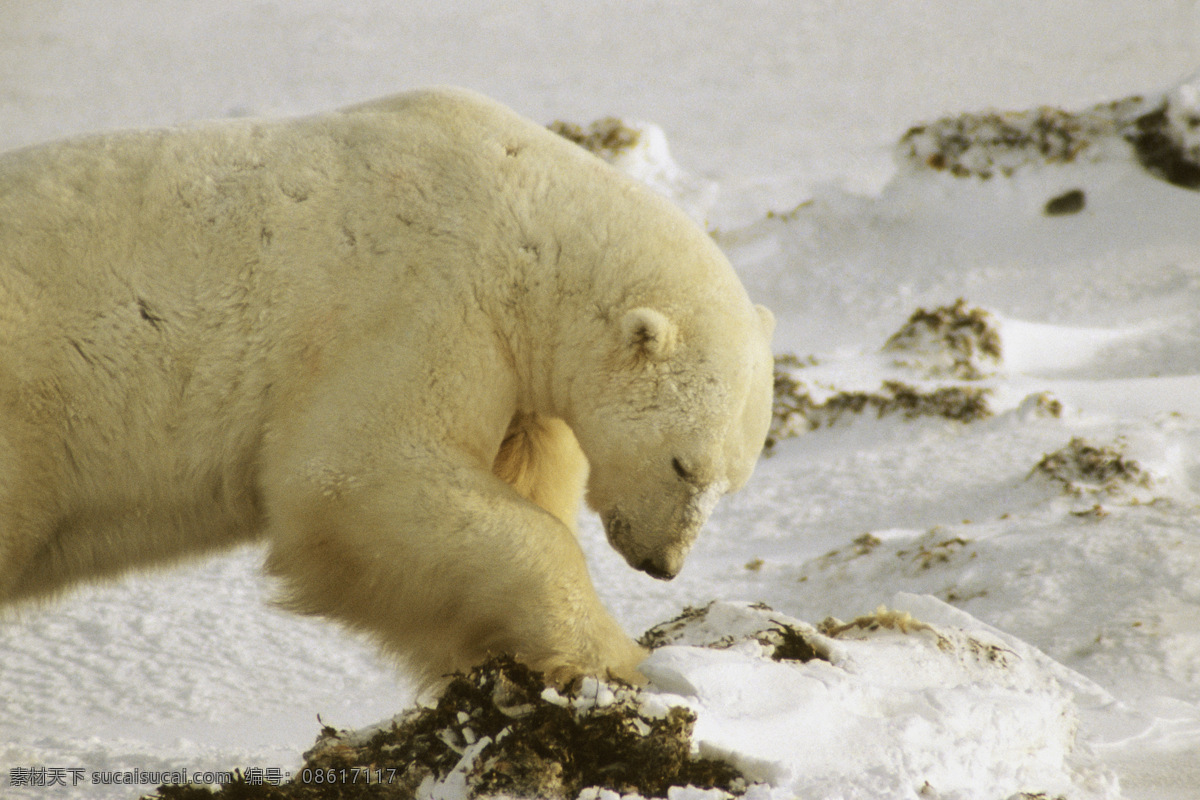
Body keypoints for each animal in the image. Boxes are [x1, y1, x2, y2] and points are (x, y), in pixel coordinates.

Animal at [0, 88, 775, 686]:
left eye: (731, 482)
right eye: (682, 463)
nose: (664, 564)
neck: (529, 223)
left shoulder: (511, 372)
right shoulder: (419, 300)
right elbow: (354, 477)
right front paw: (624, 662)